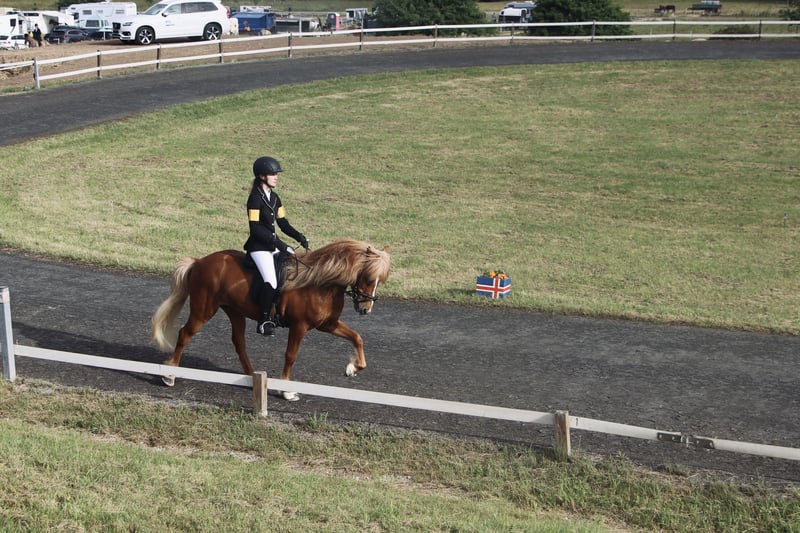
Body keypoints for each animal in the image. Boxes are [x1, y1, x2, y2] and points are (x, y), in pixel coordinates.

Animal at [151, 238, 391, 400]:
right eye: (369, 277)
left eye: (381, 280)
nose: (365, 309)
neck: (319, 282)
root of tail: (200, 262)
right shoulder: (299, 326)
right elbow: (291, 356)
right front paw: (286, 390)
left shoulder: (327, 324)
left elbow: (357, 337)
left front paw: (353, 368)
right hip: (204, 310)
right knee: (185, 334)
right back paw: (170, 375)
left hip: (234, 311)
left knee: (239, 343)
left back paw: (252, 378)